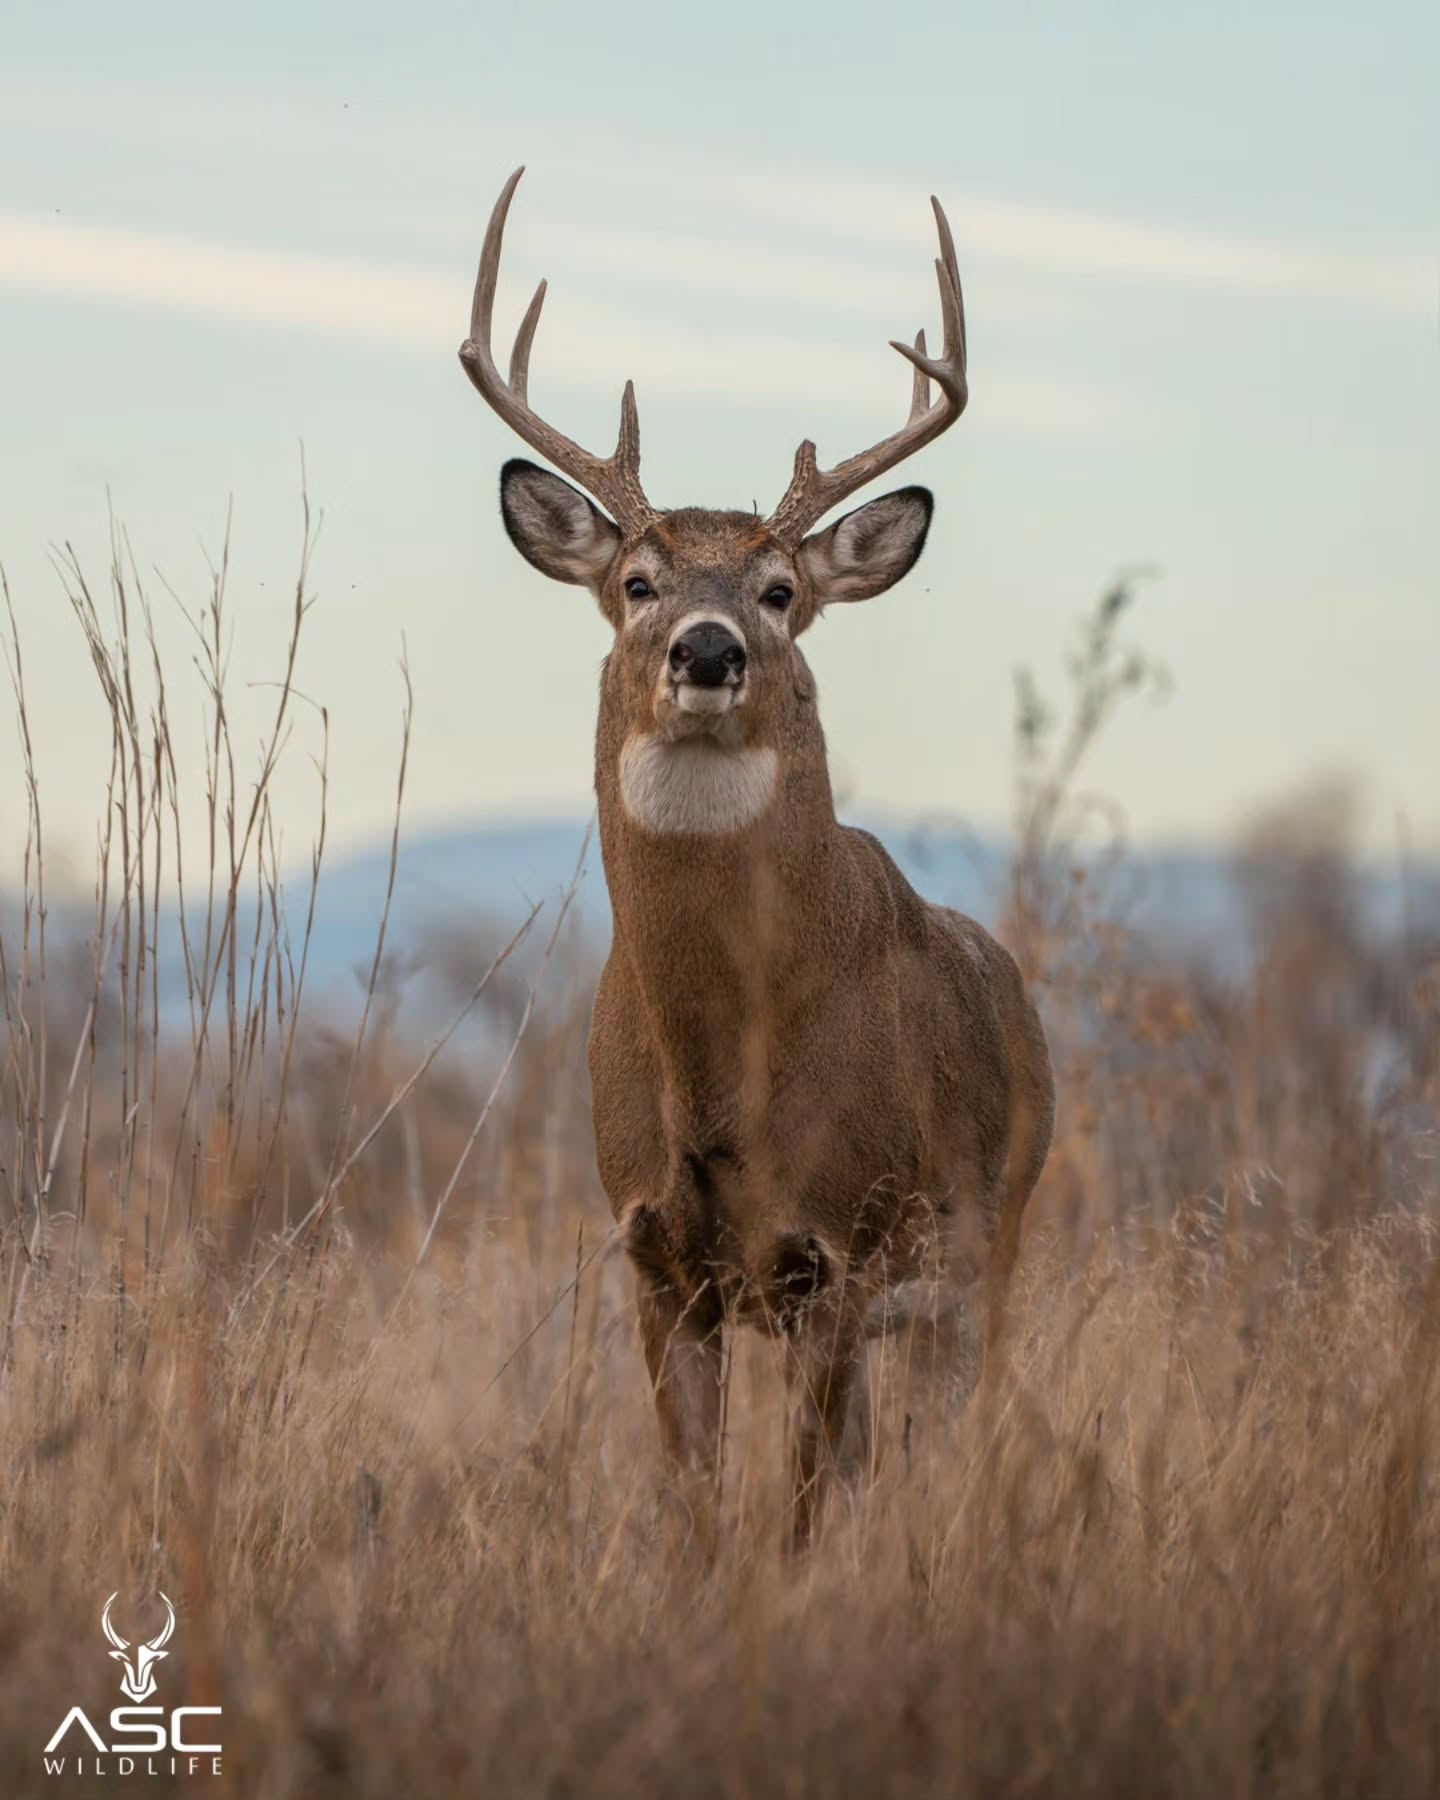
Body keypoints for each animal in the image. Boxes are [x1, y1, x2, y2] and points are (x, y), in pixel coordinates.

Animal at [458, 169, 1054, 1553]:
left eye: (782, 589)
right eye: (636, 579)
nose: (710, 648)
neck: (722, 1073)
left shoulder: (833, 1250)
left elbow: (793, 1524)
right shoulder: (656, 1260)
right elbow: (698, 1511)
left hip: (985, 1257)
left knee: (945, 1451)